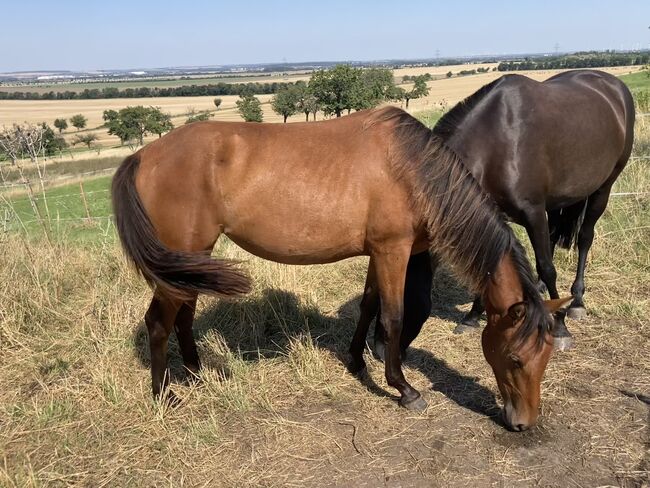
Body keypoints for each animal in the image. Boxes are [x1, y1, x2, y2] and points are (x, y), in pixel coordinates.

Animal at [114, 107, 564, 430]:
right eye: (516, 358)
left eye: (546, 356)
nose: (524, 423)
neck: (413, 171)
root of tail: (143, 155)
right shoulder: (393, 250)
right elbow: (394, 317)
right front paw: (403, 388)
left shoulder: (378, 253)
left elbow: (368, 305)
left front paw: (356, 360)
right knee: (158, 322)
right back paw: (165, 395)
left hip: (193, 260)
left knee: (184, 316)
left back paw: (196, 373)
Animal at [372, 68, 632, 356]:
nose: (378, 349)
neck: (496, 143)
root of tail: (614, 85)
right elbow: (487, 267)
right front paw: (472, 317)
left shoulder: (533, 212)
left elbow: (547, 267)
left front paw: (560, 328)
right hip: (557, 201)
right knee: (553, 238)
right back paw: (541, 291)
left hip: (602, 190)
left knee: (585, 238)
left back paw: (576, 301)